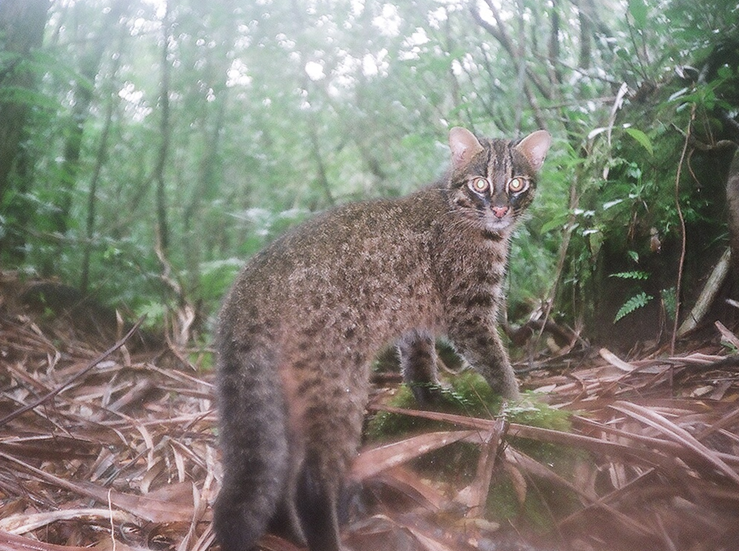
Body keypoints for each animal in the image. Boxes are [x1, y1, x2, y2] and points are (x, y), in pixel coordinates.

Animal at [214, 126, 548, 551]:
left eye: (517, 183)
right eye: (481, 183)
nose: (502, 209)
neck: (459, 209)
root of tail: (248, 286)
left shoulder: (414, 322)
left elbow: (419, 365)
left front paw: (434, 400)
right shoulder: (468, 316)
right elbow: (498, 366)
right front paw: (522, 406)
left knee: (283, 473)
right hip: (337, 382)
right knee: (310, 480)